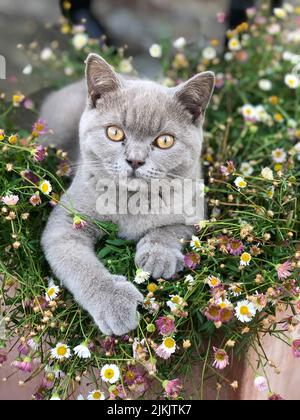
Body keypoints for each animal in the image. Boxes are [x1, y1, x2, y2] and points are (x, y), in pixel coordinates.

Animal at [40, 53, 216, 334]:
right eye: (114, 132)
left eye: (164, 141)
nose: (135, 160)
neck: (132, 201)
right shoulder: (64, 225)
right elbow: (80, 265)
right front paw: (114, 302)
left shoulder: (195, 208)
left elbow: (172, 229)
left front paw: (157, 255)